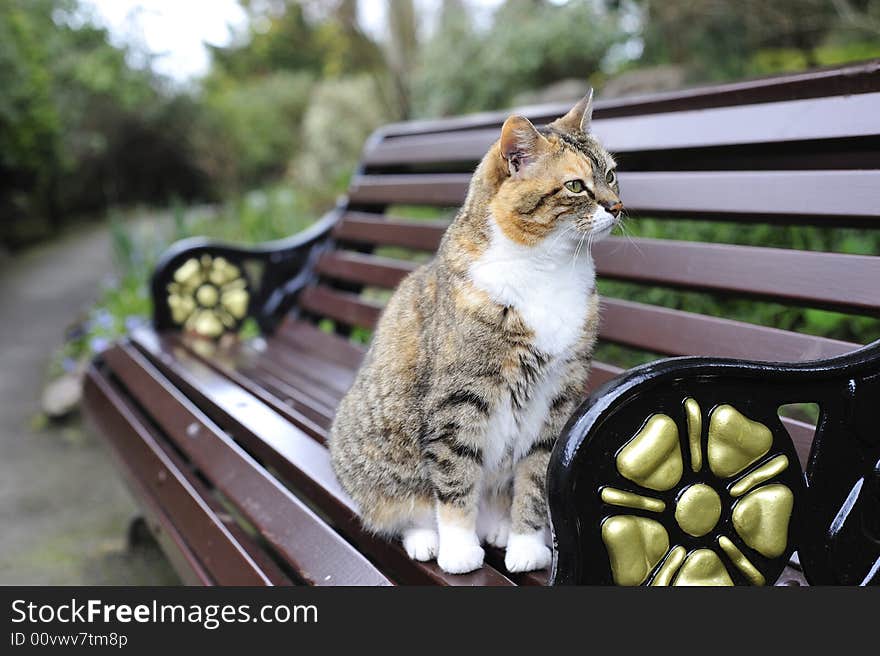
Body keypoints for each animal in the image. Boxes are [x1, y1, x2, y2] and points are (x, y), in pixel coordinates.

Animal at [326, 92, 624, 576]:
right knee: (406, 509)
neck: (548, 267)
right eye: (576, 186)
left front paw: (527, 542)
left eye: (612, 175)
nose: (617, 206)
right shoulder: (459, 399)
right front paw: (460, 549)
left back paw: (500, 527)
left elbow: (536, 478)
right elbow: (455, 479)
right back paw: (428, 539)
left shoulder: (558, 396)